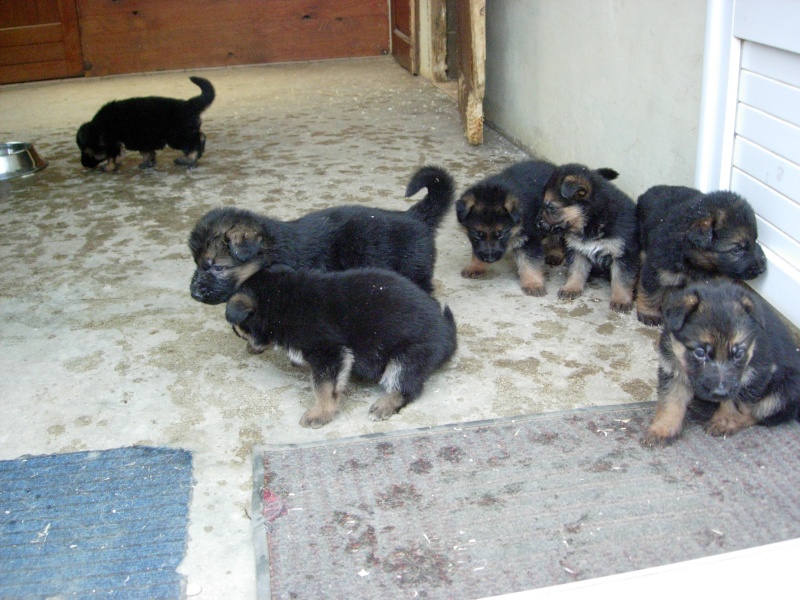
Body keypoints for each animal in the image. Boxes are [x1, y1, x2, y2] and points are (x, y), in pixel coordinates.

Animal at [77, 76, 216, 171]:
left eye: (87, 152)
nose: (83, 164)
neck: (100, 128)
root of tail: (188, 104)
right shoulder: (143, 141)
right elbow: (147, 153)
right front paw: (148, 163)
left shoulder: (114, 145)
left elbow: (112, 157)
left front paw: (108, 167)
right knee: (199, 138)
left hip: (176, 137)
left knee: (196, 141)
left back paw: (190, 159)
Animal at [228, 266, 460, 426]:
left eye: (240, 332)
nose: (247, 349)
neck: (282, 301)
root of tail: (449, 336)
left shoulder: (329, 352)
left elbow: (323, 388)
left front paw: (320, 413)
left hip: (407, 356)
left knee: (407, 387)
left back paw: (385, 403)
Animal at [456, 162, 564, 298]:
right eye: (477, 235)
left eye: (501, 235)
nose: (490, 259)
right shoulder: (477, 243)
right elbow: (476, 251)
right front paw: (475, 266)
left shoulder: (529, 238)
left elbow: (530, 262)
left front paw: (533, 283)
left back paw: (555, 253)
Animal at [536, 164, 636, 314]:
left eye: (552, 207)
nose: (537, 223)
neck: (592, 221)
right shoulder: (578, 249)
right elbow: (576, 271)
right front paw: (571, 288)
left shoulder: (622, 254)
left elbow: (621, 279)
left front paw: (621, 300)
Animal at [644, 282, 800, 446]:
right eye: (700, 352)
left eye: (738, 354)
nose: (720, 393)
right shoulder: (673, 368)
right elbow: (671, 401)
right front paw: (663, 428)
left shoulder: (754, 375)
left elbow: (736, 404)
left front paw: (724, 421)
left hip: (784, 391)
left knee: (761, 414)